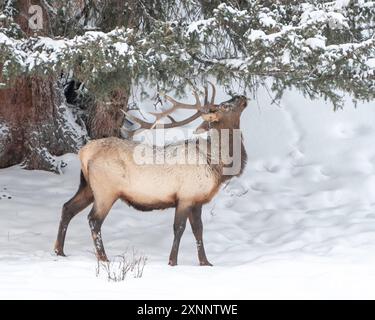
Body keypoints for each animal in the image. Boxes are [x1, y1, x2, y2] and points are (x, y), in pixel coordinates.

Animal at [54, 82, 248, 264]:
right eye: (225, 106)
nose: (241, 96)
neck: (217, 164)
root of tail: (84, 152)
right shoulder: (185, 197)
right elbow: (179, 229)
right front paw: (172, 262)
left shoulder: (197, 199)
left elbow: (198, 230)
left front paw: (206, 262)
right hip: (105, 190)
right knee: (94, 220)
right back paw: (103, 258)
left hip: (87, 186)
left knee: (67, 208)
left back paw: (59, 251)